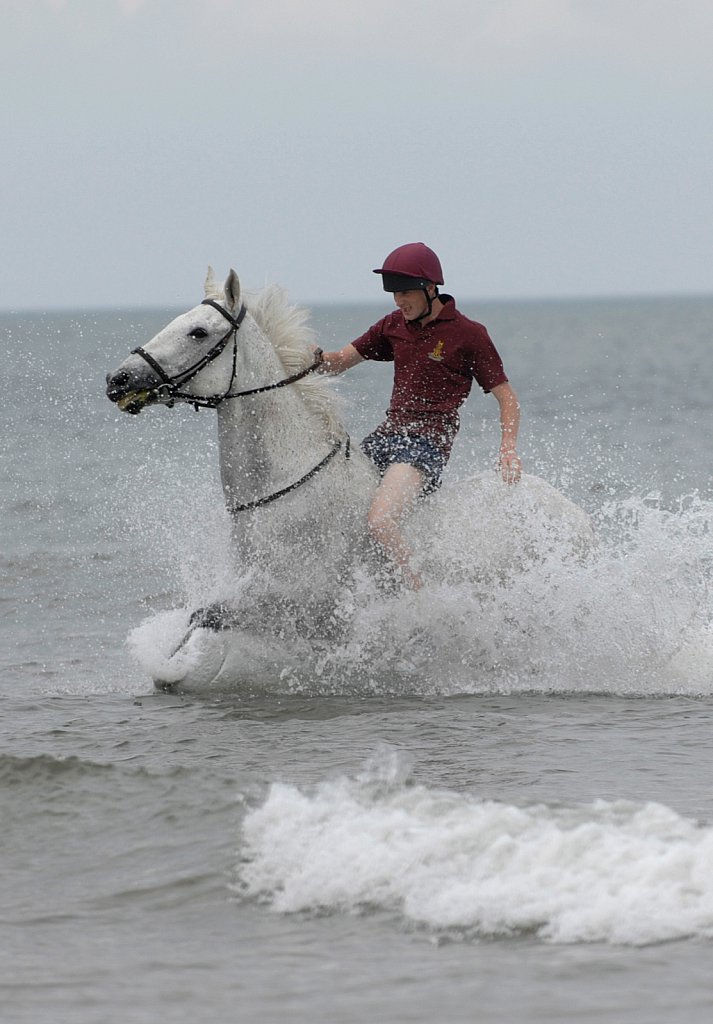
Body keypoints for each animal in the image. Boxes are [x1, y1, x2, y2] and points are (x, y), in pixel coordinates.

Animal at [106, 268, 594, 692]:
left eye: (198, 332)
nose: (118, 380)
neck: (287, 493)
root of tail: (572, 513)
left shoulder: (296, 604)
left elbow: (208, 617)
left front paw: (176, 672)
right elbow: (199, 617)